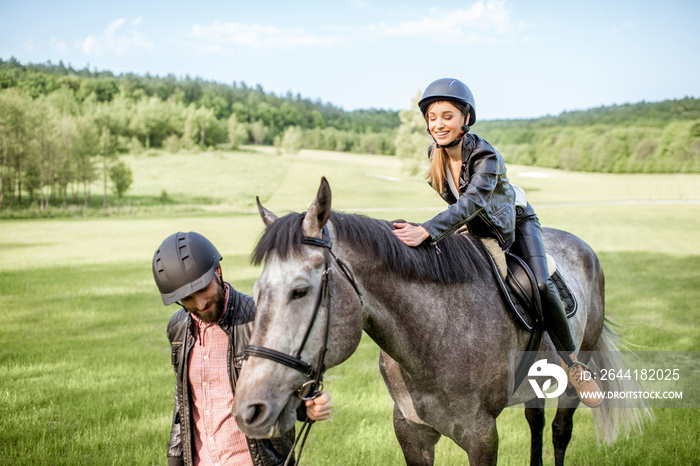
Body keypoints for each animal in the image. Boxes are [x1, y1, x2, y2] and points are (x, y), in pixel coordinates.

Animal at [234, 177, 652, 464]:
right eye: (257, 291)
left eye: (300, 291)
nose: (249, 409)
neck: (436, 335)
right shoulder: (411, 432)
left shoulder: (482, 436)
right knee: (535, 420)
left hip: (577, 369)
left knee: (560, 430)